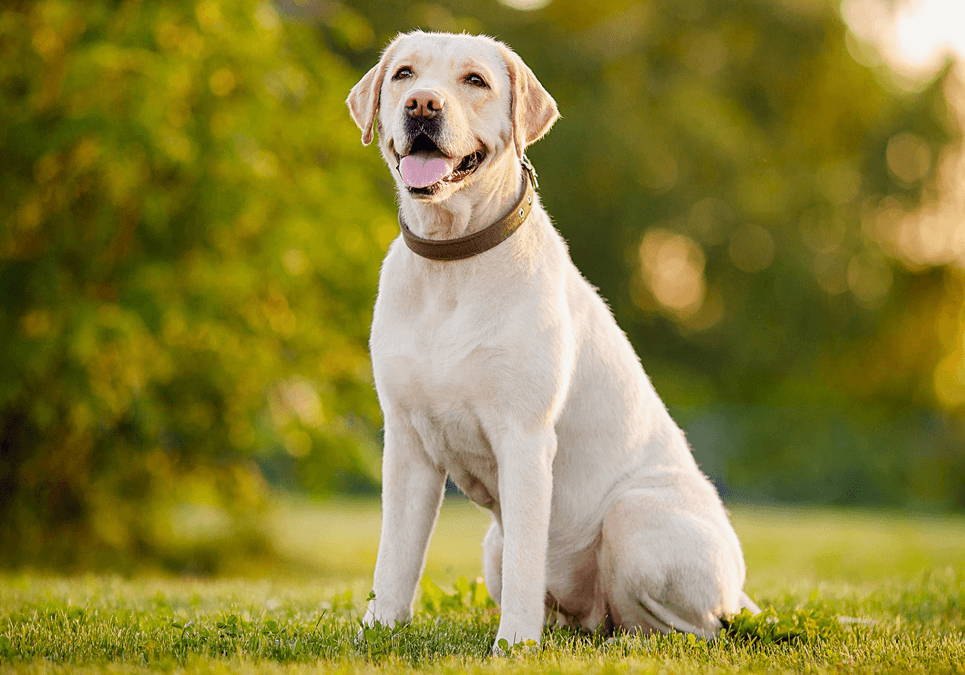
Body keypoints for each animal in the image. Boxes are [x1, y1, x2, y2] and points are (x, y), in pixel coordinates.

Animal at [346, 29, 760, 652]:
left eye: (474, 80)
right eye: (403, 75)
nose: (422, 105)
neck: (451, 263)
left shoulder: (524, 438)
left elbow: (526, 555)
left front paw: (515, 645)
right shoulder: (408, 443)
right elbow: (395, 555)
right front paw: (379, 628)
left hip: (636, 519)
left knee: (691, 626)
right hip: (492, 547)